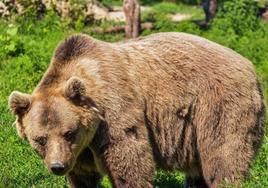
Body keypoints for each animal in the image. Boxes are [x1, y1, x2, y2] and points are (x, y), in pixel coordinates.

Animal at [8, 32, 266, 188]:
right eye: (40, 139)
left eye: (69, 132)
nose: (57, 166)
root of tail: (250, 67)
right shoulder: (80, 152)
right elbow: (83, 175)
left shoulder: (114, 113)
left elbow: (130, 160)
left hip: (218, 105)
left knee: (223, 157)